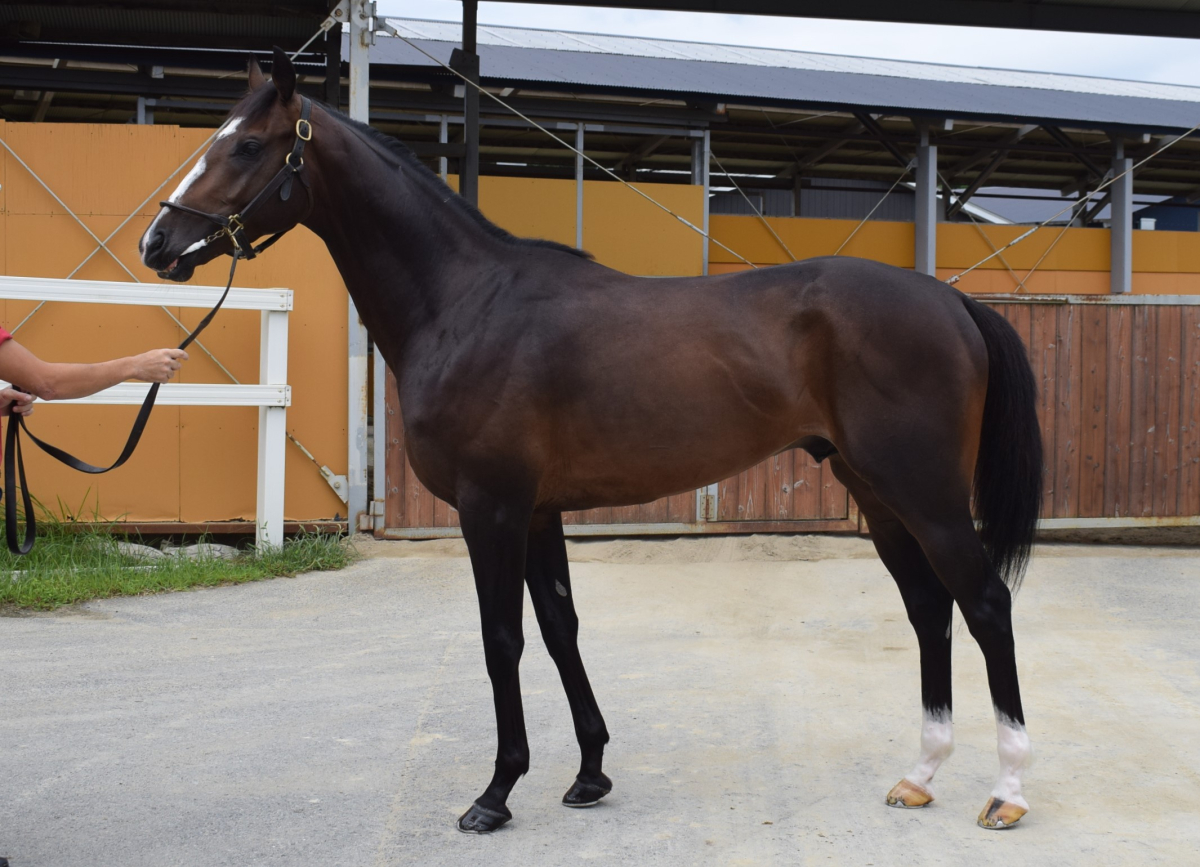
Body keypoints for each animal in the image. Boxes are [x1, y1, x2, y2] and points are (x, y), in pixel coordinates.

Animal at [139, 48, 1043, 835]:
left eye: (246, 145)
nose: (158, 245)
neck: (467, 302)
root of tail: (950, 300)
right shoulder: (539, 510)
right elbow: (559, 627)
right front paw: (589, 773)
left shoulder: (492, 506)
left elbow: (501, 639)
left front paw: (495, 793)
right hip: (876, 492)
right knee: (929, 608)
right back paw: (919, 774)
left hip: (925, 494)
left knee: (985, 604)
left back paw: (1006, 791)